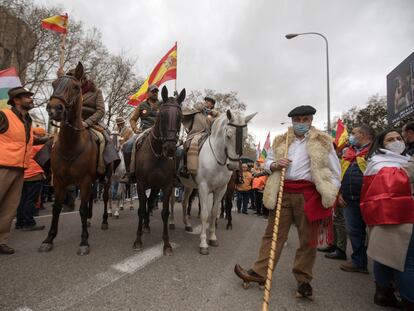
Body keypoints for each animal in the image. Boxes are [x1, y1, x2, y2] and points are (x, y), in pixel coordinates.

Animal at [40, 62, 111, 256]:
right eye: (54, 84)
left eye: (76, 87)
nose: (54, 109)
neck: (71, 145)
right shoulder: (59, 180)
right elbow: (57, 208)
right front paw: (49, 239)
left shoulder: (84, 180)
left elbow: (81, 209)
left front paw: (84, 241)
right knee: (90, 198)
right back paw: (90, 220)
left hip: (107, 179)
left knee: (105, 197)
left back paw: (104, 221)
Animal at [133, 86, 185, 256]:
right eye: (162, 115)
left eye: (180, 116)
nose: (170, 148)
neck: (156, 154)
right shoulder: (141, 185)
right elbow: (141, 210)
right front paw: (138, 240)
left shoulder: (166, 186)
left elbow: (165, 213)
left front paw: (167, 244)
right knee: (146, 205)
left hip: (155, 187)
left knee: (150, 203)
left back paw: (147, 226)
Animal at [180, 111, 258, 255]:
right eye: (228, 134)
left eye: (245, 137)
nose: (233, 165)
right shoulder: (203, 188)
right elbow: (205, 214)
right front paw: (203, 243)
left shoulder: (222, 189)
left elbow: (214, 212)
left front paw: (212, 237)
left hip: (188, 185)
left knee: (184, 202)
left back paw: (187, 224)